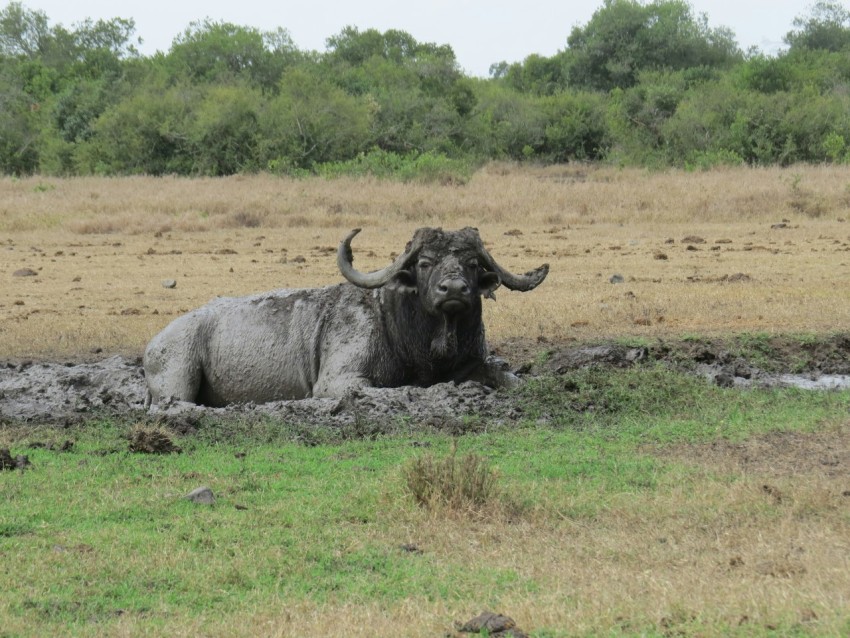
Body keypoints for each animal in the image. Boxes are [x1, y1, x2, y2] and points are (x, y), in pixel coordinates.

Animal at [143, 227, 548, 406]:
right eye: (425, 263)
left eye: (471, 263)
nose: (454, 290)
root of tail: (154, 343)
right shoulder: (337, 382)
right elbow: (399, 388)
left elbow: (503, 376)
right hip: (176, 379)